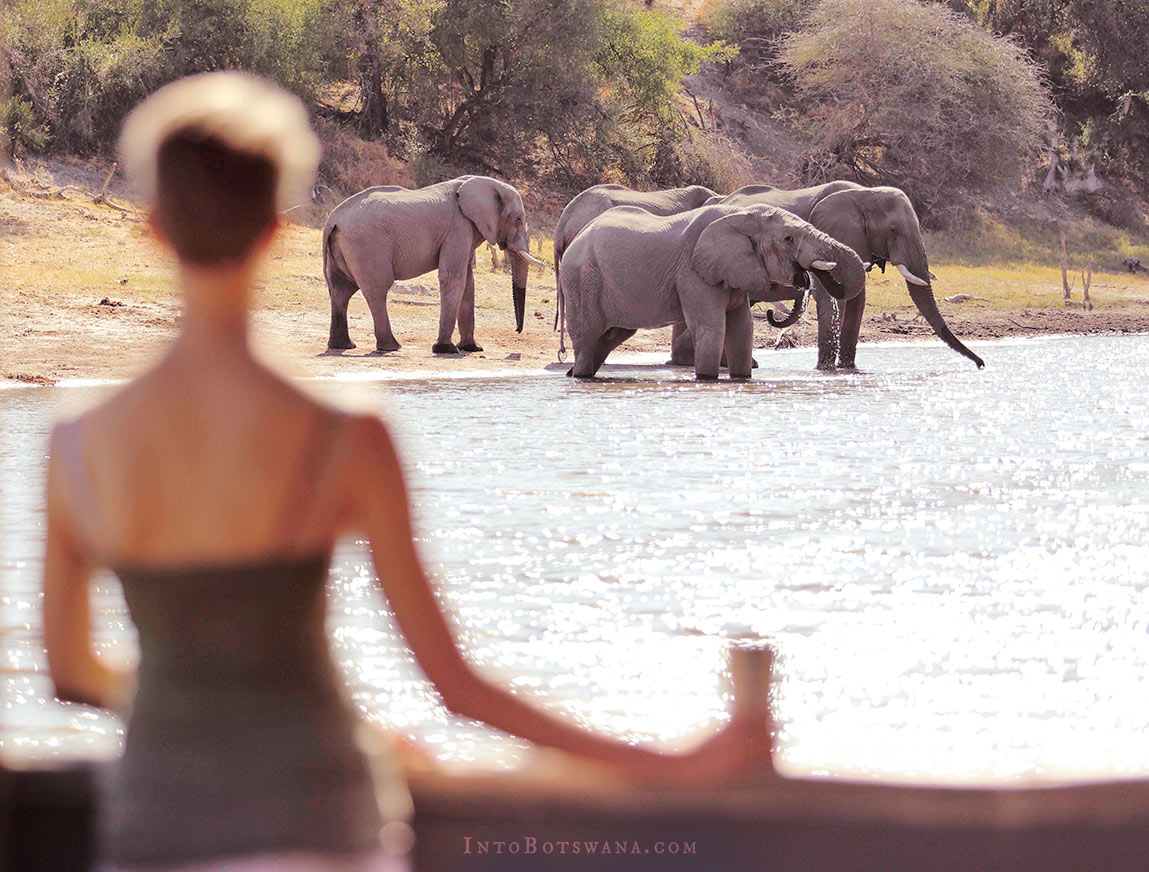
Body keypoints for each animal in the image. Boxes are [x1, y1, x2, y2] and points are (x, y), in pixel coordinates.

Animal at [322, 175, 545, 355]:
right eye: (518, 219)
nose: (517, 331)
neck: (485, 183)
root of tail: (333, 218)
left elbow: (468, 282)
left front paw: (472, 348)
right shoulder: (458, 227)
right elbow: (453, 278)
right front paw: (446, 349)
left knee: (340, 291)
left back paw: (343, 346)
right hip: (367, 246)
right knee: (377, 291)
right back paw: (392, 347)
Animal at [558, 203, 866, 380]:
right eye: (788, 239)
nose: (805, 275)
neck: (739, 216)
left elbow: (742, 329)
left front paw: (741, 379)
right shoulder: (694, 272)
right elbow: (712, 328)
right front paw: (707, 379)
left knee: (609, 338)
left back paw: (576, 373)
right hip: (581, 279)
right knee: (588, 338)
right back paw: (580, 376)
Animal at [677, 181, 984, 370]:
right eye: (893, 230)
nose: (981, 364)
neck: (865, 193)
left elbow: (858, 301)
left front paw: (848, 369)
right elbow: (834, 298)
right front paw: (825, 370)